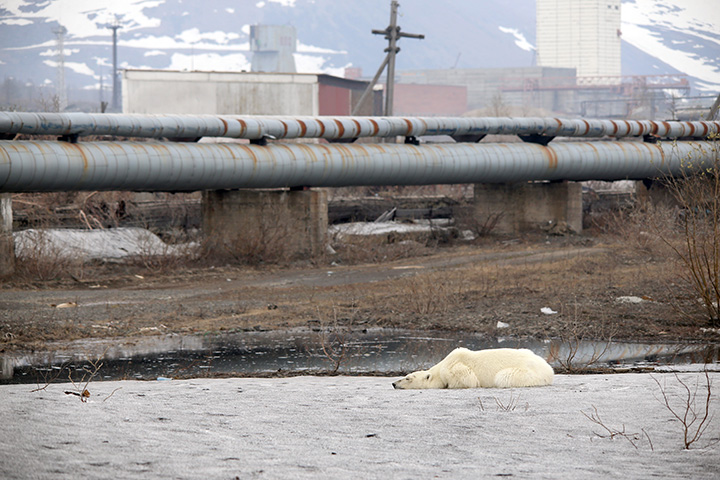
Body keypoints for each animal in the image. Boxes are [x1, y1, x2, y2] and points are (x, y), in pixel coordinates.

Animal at [390, 346, 556, 388]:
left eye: (407, 378)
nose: (393, 383)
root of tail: (549, 370)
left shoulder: (456, 367)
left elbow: (468, 379)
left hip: (526, 373)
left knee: (503, 377)